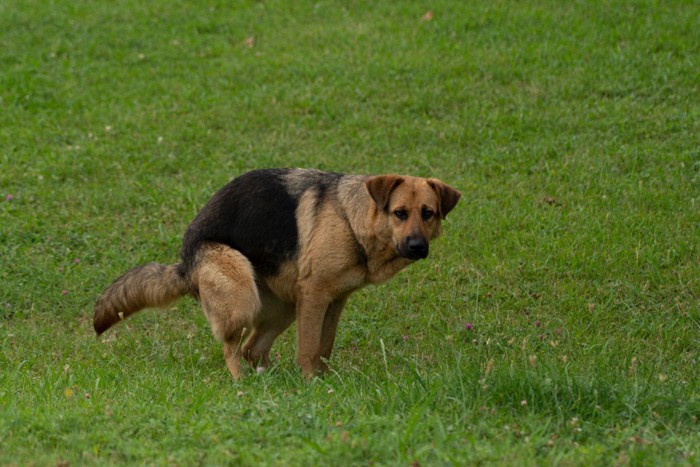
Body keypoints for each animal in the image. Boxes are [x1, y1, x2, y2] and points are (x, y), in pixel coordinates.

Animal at [94, 169, 460, 380]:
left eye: (428, 213)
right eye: (400, 213)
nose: (417, 246)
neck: (351, 217)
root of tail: (185, 264)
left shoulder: (335, 301)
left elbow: (324, 346)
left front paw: (325, 382)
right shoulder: (314, 296)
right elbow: (309, 349)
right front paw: (311, 384)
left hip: (282, 308)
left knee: (252, 348)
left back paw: (269, 380)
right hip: (242, 294)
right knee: (231, 349)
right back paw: (242, 385)